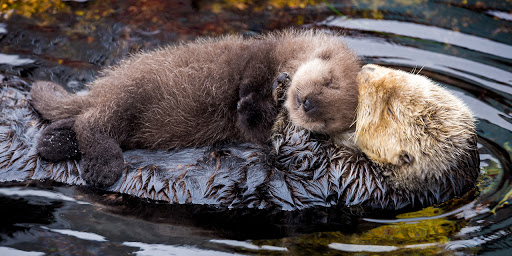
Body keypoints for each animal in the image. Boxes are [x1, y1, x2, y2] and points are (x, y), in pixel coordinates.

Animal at [29, 31, 360, 188]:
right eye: (330, 81)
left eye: (328, 119)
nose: (308, 104)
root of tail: (104, 86)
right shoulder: (260, 56)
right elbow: (250, 78)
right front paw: (262, 93)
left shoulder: (256, 132)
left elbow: (255, 127)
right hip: (131, 93)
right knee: (91, 122)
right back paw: (102, 168)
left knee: (81, 122)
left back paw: (53, 142)